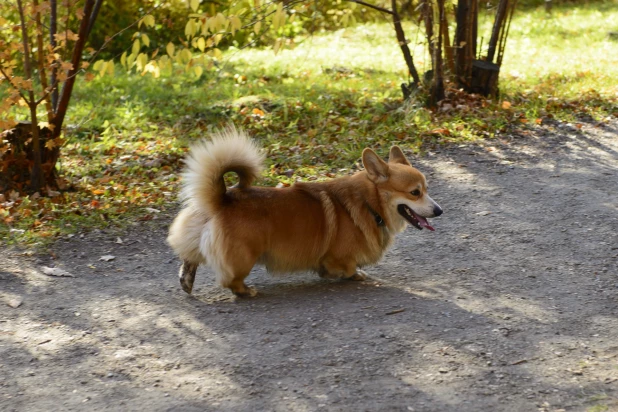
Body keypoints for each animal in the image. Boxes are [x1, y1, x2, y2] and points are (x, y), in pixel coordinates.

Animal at [166, 127, 440, 298]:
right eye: (415, 192)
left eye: (426, 189)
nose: (439, 210)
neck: (370, 203)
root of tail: (223, 199)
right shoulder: (338, 257)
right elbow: (347, 268)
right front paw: (349, 275)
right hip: (245, 256)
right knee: (229, 280)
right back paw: (246, 291)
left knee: (189, 257)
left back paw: (186, 280)